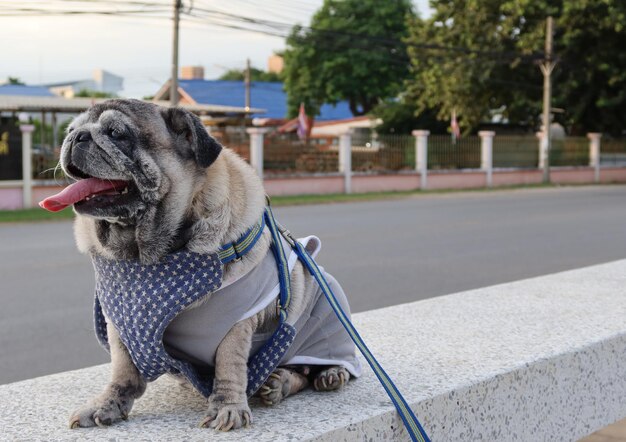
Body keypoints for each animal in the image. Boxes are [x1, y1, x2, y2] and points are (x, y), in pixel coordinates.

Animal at [39, 100, 358, 432]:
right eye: (71, 129)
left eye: (116, 133)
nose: (77, 137)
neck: (146, 257)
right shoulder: (122, 324)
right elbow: (123, 370)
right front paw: (108, 404)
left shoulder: (237, 324)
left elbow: (230, 366)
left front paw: (227, 408)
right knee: (297, 374)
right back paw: (279, 382)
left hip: (329, 320)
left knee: (321, 368)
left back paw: (327, 374)